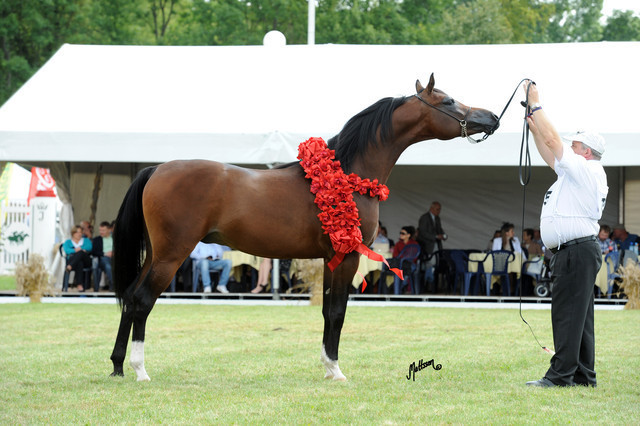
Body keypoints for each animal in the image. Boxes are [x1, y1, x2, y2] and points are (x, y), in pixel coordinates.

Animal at [109, 73, 499, 382]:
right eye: (448, 100)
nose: (492, 117)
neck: (349, 173)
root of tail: (156, 169)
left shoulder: (331, 258)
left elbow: (327, 311)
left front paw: (327, 367)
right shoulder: (348, 257)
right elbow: (338, 311)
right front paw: (337, 371)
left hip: (155, 255)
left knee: (130, 298)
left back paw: (117, 366)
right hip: (172, 255)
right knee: (142, 300)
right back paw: (140, 370)